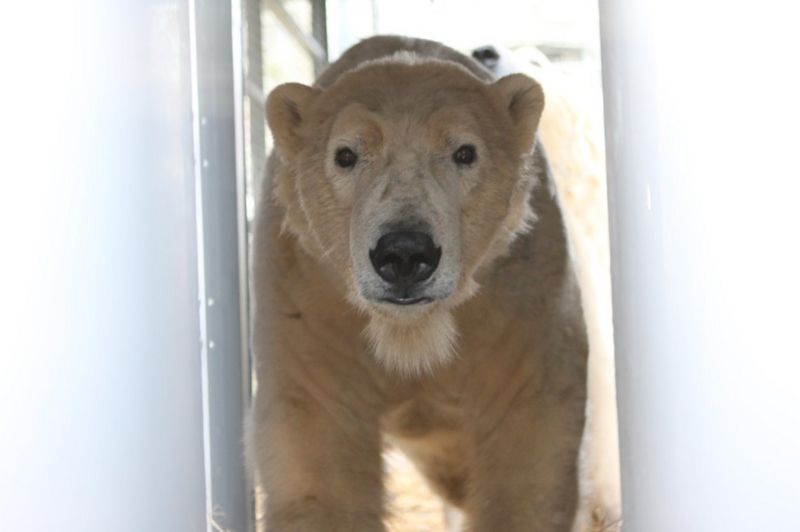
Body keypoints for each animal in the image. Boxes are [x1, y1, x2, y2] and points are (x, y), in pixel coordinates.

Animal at [247, 35, 599, 531]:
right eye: (346, 154)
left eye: (465, 152)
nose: (404, 254)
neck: (412, 332)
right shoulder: (309, 300)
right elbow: (322, 455)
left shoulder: (520, 297)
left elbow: (527, 444)